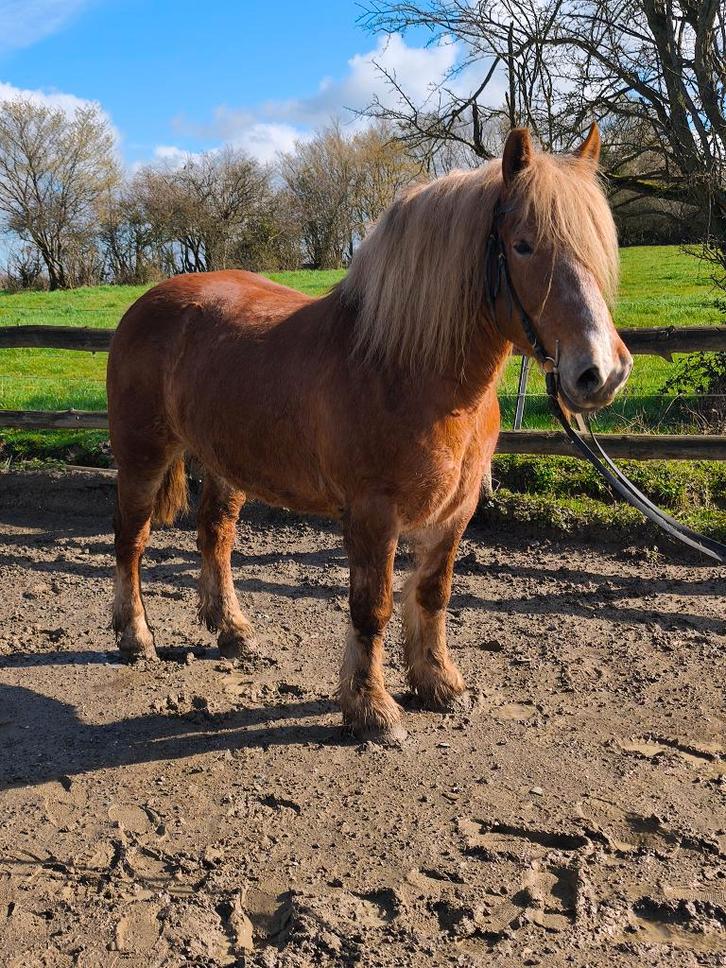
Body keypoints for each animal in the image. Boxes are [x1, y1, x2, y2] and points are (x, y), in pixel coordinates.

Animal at [107, 125, 632, 743]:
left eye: (599, 246)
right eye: (524, 244)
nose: (600, 371)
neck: (405, 368)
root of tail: (147, 302)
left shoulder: (455, 512)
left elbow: (432, 593)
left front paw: (438, 684)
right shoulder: (372, 514)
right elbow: (372, 607)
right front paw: (370, 707)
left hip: (225, 461)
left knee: (215, 533)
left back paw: (232, 629)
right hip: (143, 454)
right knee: (131, 539)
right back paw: (136, 636)